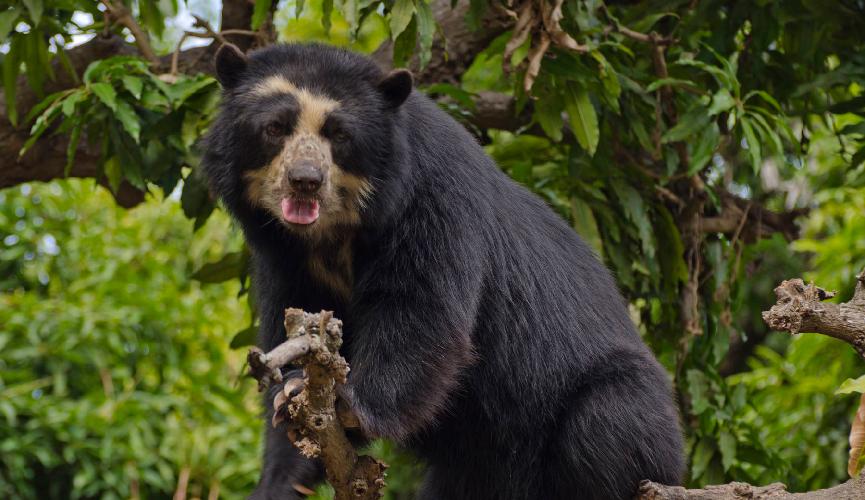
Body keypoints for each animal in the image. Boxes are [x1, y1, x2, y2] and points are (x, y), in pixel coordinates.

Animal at [200, 42, 685, 500]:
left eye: (339, 134)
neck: (334, 234)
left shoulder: (433, 199)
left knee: (604, 424)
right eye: (274, 128)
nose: (305, 180)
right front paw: (289, 423)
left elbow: (421, 311)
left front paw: (349, 408)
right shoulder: (282, 256)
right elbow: (296, 328)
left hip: (615, 408)